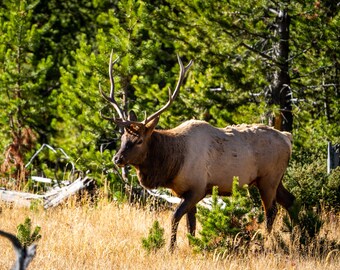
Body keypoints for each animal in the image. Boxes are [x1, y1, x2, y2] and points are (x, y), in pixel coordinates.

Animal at [99, 51, 296, 251]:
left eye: (139, 141)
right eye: (123, 138)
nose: (117, 158)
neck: (172, 165)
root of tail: (287, 137)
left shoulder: (198, 188)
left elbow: (175, 217)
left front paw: (171, 249)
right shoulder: (184, 191)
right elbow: (191, 225)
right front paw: (193, 246)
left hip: (268, 179)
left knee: (271, 210)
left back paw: (268, 242)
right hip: (276, 178)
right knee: (291, 200)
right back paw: (298, 237)